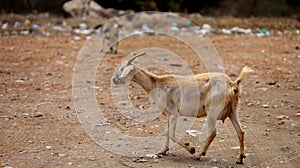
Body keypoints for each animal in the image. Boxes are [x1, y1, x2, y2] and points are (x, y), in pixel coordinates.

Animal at [111, 51, 252, 163]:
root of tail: (232, 84)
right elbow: (167, 132)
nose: (114, 80)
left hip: (212, 111)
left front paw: (191, 149)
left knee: (213, 133)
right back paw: (240, 159)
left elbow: (172, 134)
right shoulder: (169, 114)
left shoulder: (174, 113)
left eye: (123, 69)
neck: (158, 83)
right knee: (240, 132)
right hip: (232, 110)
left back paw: (199, 154)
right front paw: (162, 151)